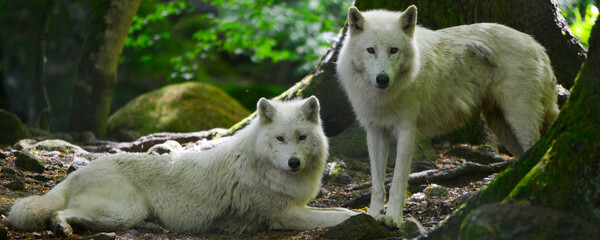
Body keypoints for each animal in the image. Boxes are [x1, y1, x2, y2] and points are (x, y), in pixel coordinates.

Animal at [8, 96, 356, 235]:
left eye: (301, 137)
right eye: (280, 139)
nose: (294, 162)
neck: (259, 165)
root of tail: (77, 172)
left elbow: (339, 211)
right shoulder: (284, 215)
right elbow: (337, 217)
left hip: (121, 215)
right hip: (123, 210)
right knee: (58, 213)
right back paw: (62, 228)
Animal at [336, 5, 560, 227]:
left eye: (394, 50)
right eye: (370, 50)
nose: (382, 79)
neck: (383, 98)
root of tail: (536, 44)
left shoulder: (407, 132)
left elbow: (398, 182)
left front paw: (393, 218)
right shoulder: (375, 131)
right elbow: (377, 182)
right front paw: (373, 215)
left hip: (519, 121)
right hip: (502, 127)